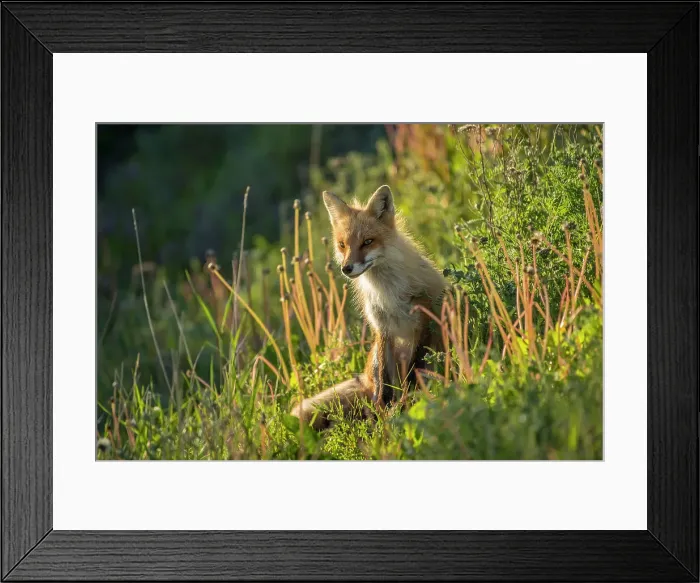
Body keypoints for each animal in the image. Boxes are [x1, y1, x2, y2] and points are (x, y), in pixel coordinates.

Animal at [290, 184, 448, 430]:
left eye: (367, 241)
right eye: (342, 245)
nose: (346, 268)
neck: (387, 292)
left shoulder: (422, 320)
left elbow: (415, 369)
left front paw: (406, 404)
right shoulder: (381, 328)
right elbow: (384, 383)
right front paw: (384, 413)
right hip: (376, 356)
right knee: (376, 385)